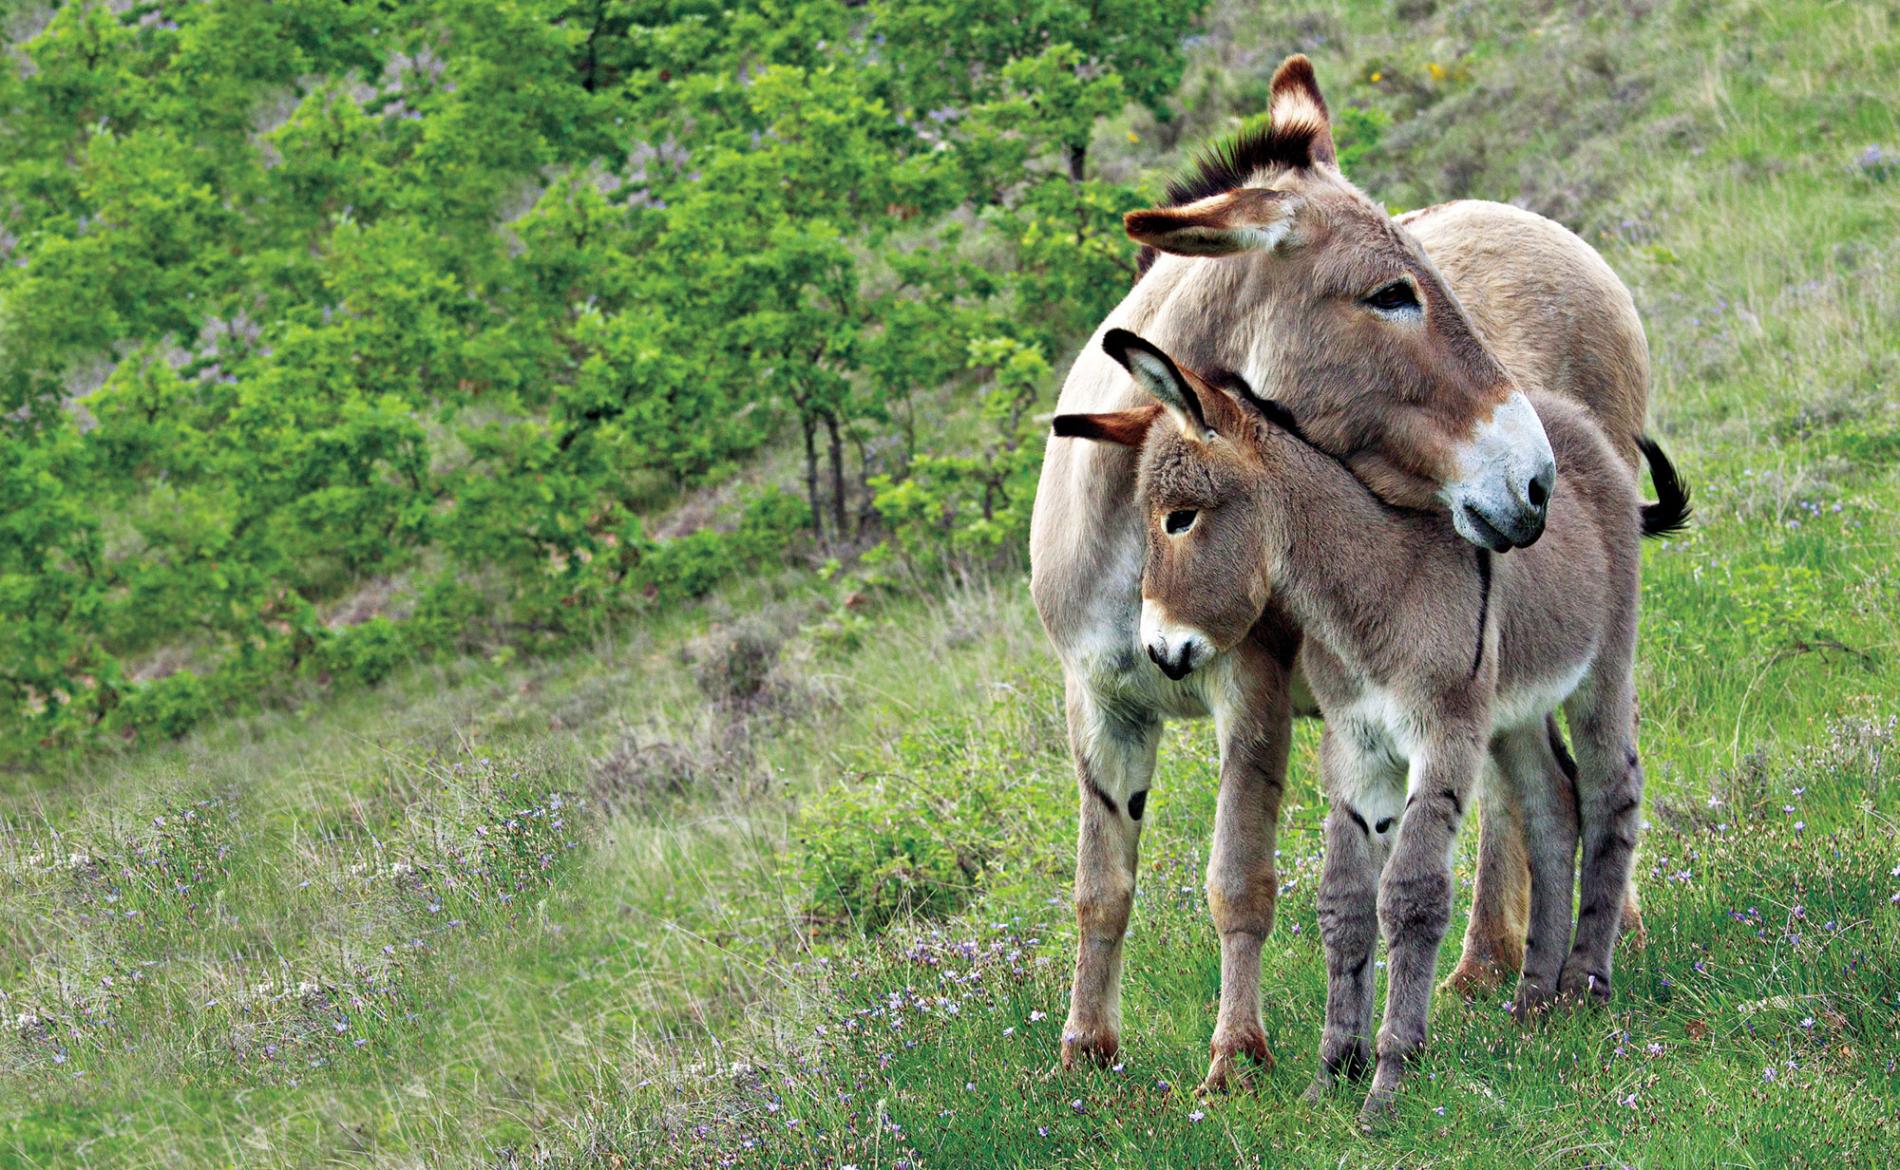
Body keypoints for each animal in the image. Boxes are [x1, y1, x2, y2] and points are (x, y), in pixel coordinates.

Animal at [1056, 330, 1694, 1124]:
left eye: (1180, 518)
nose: (1158, 653)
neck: (1372, 592)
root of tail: (1567, 414)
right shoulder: (1357, 747)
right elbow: (1345, 902)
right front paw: (1334, 1071)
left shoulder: (1442, 735)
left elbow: (1411, 894)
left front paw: (1391, 1079)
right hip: (1514, 711)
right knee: (1552, 806)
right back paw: (1533, 1002)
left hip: (1602, 666)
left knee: (1612, 790)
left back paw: (1586, 982)